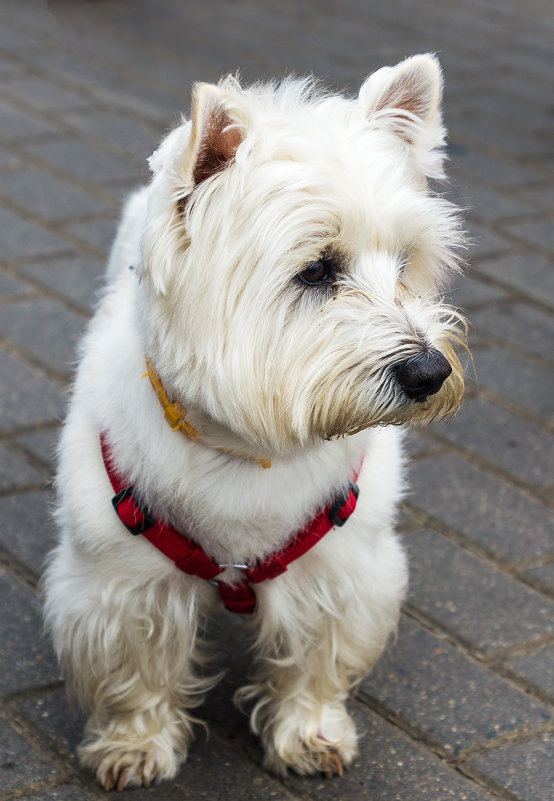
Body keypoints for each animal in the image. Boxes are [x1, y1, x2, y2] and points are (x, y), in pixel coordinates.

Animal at [45, 53, 464, 792]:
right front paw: (135, 744)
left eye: (405, 264)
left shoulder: (342, 571)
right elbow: (136, 669)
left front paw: (311, 734)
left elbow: (317, 660)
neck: (248, 448)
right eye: (317, 270)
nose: (429, 372)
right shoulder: (120, 583)